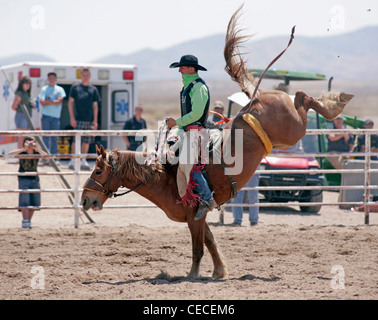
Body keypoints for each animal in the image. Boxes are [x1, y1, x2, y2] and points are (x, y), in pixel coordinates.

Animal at [80, 6, 354, 278]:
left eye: (98, 170)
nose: (84, 200)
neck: (164, 177)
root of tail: (254, 100)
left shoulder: (195, 215)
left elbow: (198, 247)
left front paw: (193, 275)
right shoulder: (199, 219)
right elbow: (211, 242)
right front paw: (219, 271)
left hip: (291, 130)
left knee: (302, 96)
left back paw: (336, 102)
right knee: (300, 96)